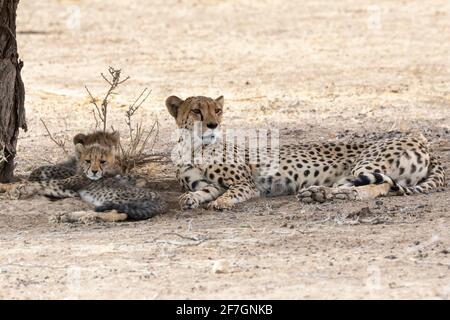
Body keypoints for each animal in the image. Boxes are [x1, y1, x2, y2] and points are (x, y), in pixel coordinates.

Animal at [164, 95, 442, 210]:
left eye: (217, 110)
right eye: (197, 111)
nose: (213, 125)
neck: (193, 146)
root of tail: (419, 136)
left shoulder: (245, 184)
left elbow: (232, 192)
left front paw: (221, 203)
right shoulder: (209, 184)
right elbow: (202, 191)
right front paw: (190, 199)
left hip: (365, 164)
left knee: (380, 185)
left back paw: (324, 194)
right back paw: (319, 194)